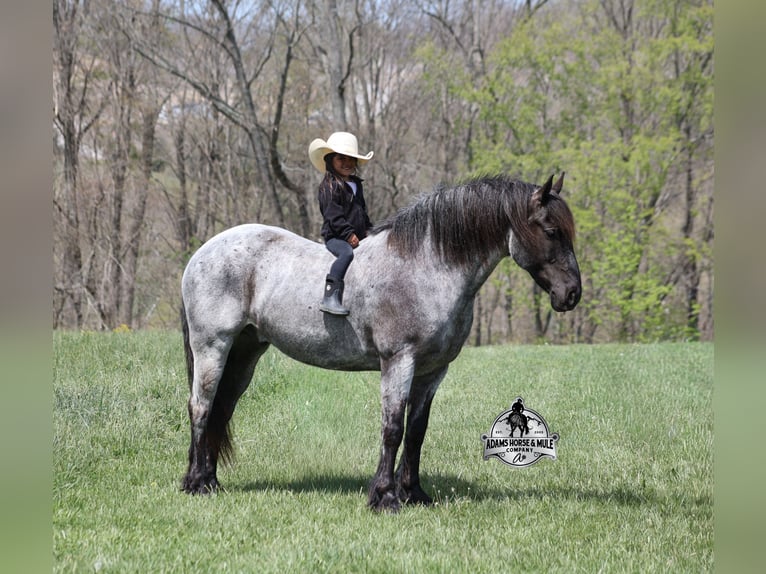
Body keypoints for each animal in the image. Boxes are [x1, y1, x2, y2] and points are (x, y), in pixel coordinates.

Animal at [180, 172, 581, 512]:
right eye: (550, 230)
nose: (572, 294)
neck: (426, 267)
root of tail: (201, 254)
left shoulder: (433, 370)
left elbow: (416, 432)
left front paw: (414, 493)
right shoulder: (398, 361)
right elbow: (393, 429)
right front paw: (385, 497)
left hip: (244, 353)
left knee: (220, 409)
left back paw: (209, 481)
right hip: (212, 347)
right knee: (201, 407)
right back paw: (197, 484)